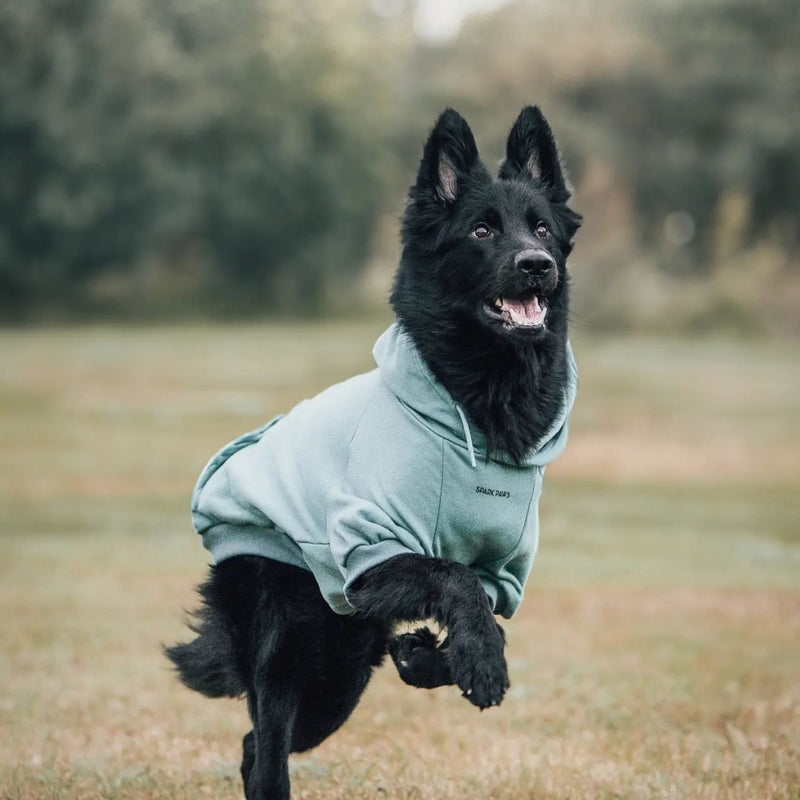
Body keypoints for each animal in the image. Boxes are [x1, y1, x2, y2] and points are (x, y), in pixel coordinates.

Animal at [167, 106, 580, 800]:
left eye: (542, 227)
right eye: (482, 229)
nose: (536, 264)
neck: (479, 403)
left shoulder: (499, 573)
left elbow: (478, 603)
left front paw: (434, 657)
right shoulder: (366, 554)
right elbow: (450, 575)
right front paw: (481, 664)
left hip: (341, 676)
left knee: (252, 746)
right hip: (290, 652)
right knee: (266, 751)